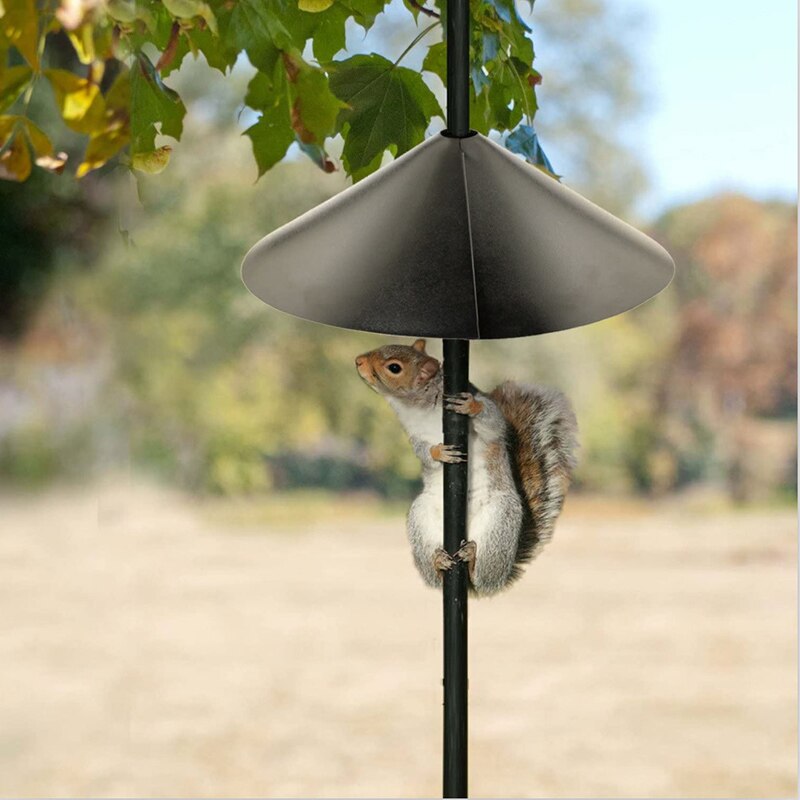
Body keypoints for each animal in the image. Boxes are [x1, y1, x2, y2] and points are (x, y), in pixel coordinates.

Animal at [355, 339, 579, 597]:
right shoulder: (414, 435)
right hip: (421, 517)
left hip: (500, 521)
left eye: (394, 368)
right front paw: (439, 453)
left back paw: (472, 561)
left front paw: (471, 406)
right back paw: (438, 562)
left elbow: (494, 423)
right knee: (435, 578)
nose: (358, 361)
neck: (419, 406)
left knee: (482, 577)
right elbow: (423, 452)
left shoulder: (489, 418)